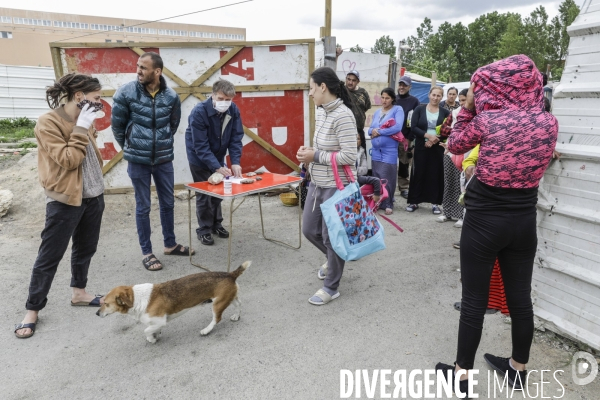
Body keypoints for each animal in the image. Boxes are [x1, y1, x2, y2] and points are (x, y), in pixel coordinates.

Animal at [96, 260, 251, 342]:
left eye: (106, 304)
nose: (97, 313)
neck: (136, 298)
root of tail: (230, 274)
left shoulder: (160, 321)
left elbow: (146, 330)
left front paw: (152, 339)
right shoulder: (156, 322)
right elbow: (152, 329)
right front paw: (156, 334)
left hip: (217, 305)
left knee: (216, 319)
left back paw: (206, 330)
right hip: (227, 298)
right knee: (239, 304)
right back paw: (236, 316)